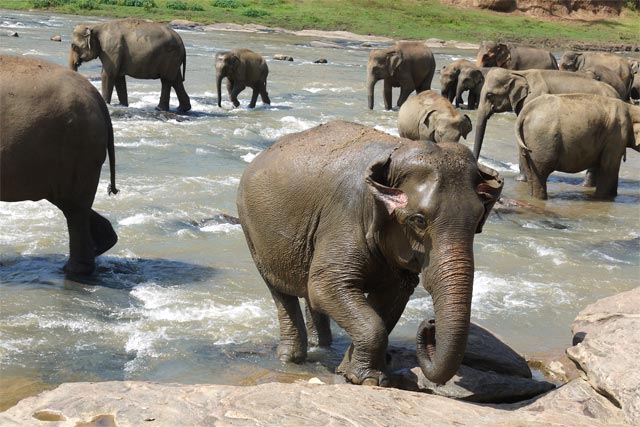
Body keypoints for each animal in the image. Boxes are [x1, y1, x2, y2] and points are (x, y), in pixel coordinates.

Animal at [0, 55, 118, 276]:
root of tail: (97, 98)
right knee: (73, 205)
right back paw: (102, 245)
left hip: (76, 150)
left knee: (74, 210)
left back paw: (74, 270)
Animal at [238, 121, 502, 388]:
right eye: (418, 220)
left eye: (478, 220)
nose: (430, 323)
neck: (396, 152)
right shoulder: (345, 214)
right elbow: (326, 286)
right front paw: (367, 379)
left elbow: (391, 297)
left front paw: (354, 373)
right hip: (253, 230)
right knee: (281, 291)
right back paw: (290, 358)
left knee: (308, 292)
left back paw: (321, 347)